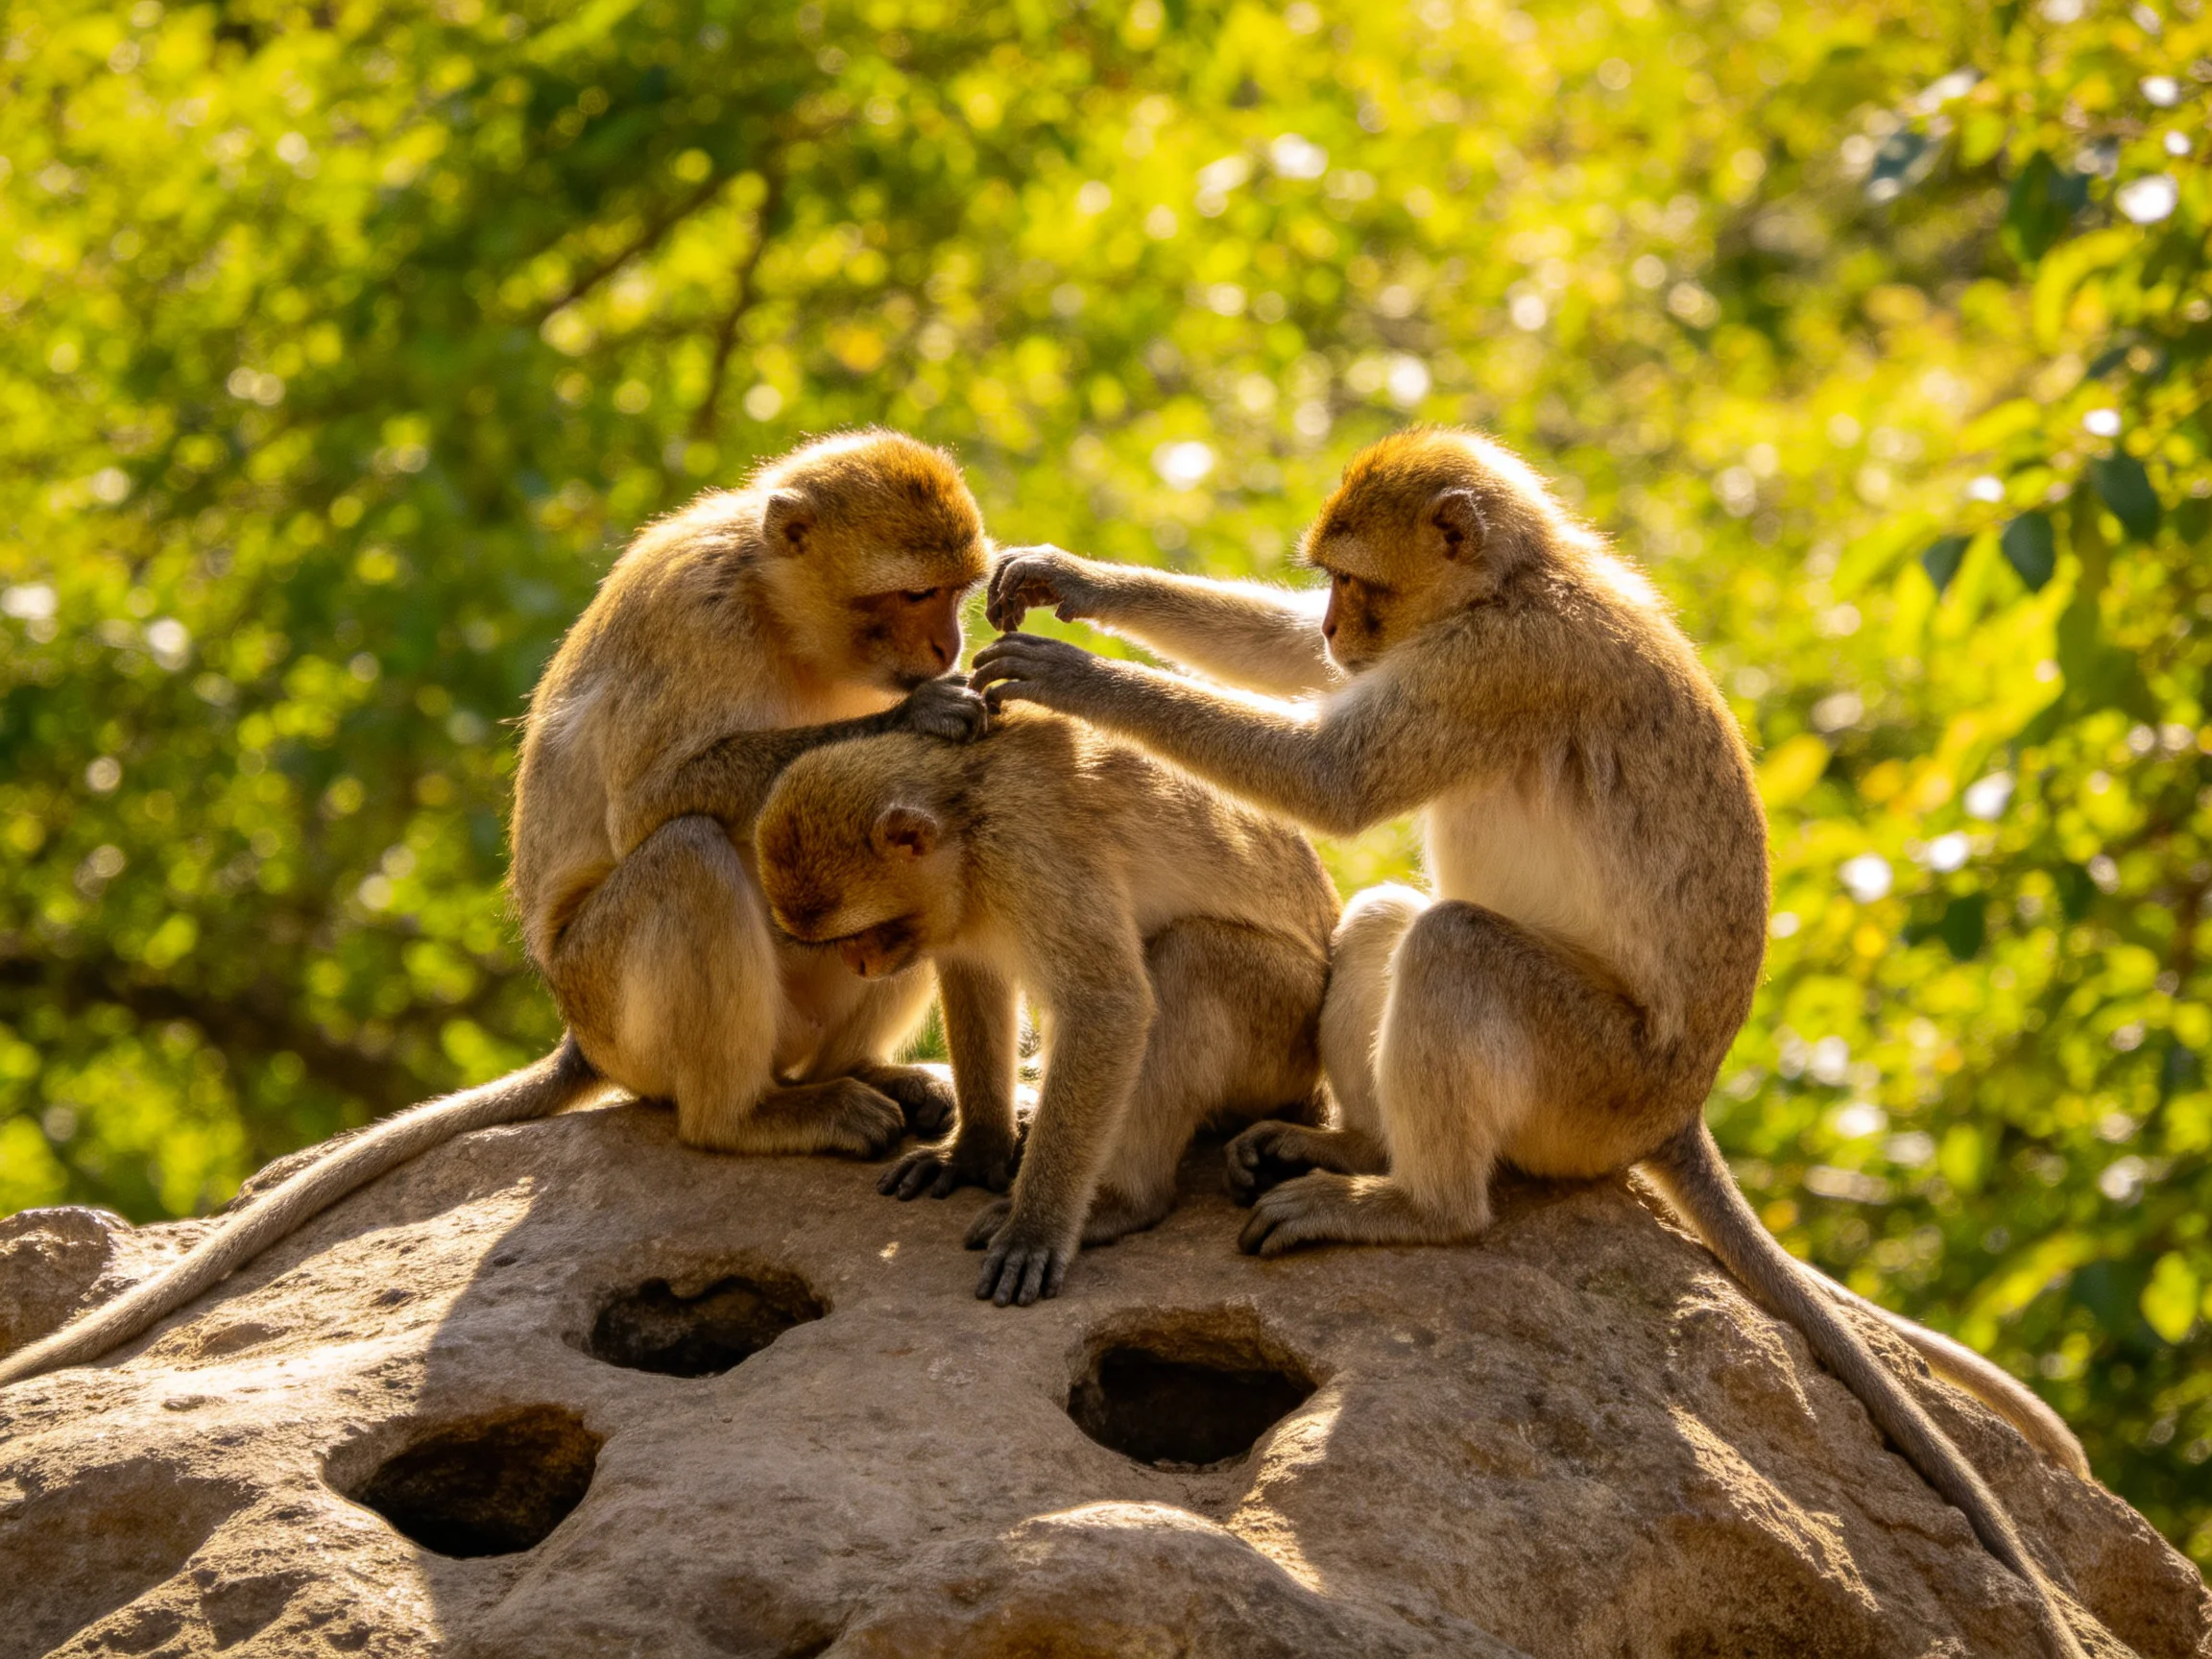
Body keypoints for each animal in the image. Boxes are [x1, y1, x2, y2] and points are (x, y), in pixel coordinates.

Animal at [0, 430, 993, 1390]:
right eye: (914, 593)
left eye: (956, 593)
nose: (945, 648)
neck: (778, 609)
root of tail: (579, 1038)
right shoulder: (693, 615)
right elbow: (653, 803)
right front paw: (913, 718)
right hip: (617, 1008)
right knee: (689, 854)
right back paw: (745, 1117)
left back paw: (865, 1070)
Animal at [751, 707, 1339, 1306]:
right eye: (837, 943)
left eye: (863, 933)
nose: (859, 965)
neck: (968, 817)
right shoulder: (963, 905)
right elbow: (974, 975)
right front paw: (975, 1151)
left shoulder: (1028, 855)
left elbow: (1108, 1006)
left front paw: (1036, 1228)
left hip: (1283, 1037)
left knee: (1192, 957)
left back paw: (1123, 1202)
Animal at [973, 428, 2092, 1658]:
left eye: (1359, 583)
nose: (1341, 627)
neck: (1514, 583)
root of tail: (1679, 1110)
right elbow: (1314, 685)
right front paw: (1072, 580)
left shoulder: (1499, 664)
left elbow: (1335, 777)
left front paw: (1076, 677)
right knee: (1391, 921)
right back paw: (1356, 1151)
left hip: (1589, 1084)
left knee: (1454, 948)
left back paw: (1422, 1206)